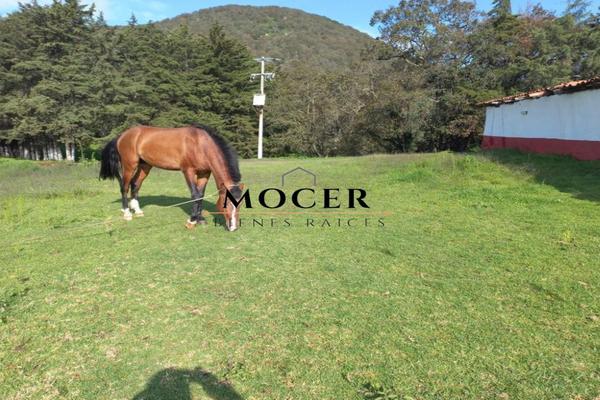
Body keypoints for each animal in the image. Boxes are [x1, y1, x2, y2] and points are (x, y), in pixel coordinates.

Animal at [99, 124, 244, 232]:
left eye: (241, 203)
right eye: (227, 203)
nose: (233, 227)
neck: (199, 144)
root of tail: (122, 135)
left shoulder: (204, 173)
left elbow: (200, 195)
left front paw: (200, 219)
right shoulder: (188, 171)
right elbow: (195, 195)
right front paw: (191, 221)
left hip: (145, 166)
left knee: (135, 184)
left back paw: (138, 211)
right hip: (129, 165)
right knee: (124, 187)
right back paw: (127, 213)